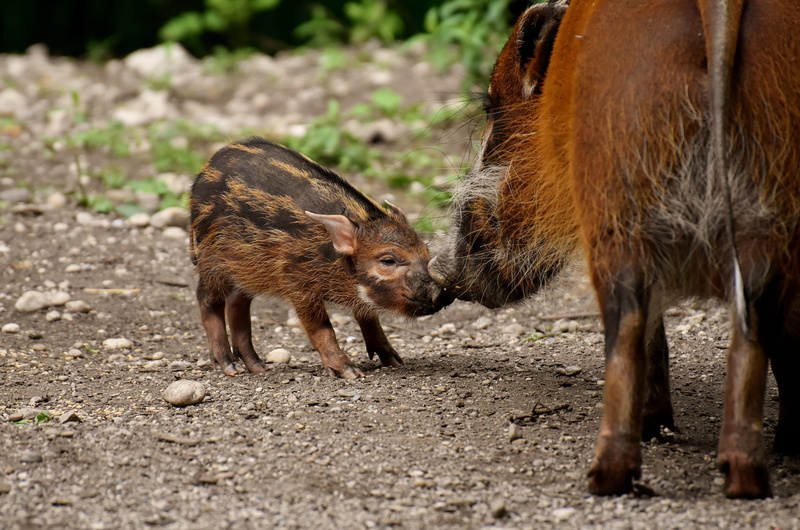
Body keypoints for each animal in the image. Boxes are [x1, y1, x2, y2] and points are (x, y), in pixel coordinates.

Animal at [189, 137, 451, 379]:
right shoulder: (298, 284)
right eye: (388, 261)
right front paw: (349, 372)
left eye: (425, 252)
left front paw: (395, 361)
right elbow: (322, 328)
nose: (441, 293)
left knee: (237, 302)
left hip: (245, 269)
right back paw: (230, 366)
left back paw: (258, 366)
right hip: (210, 259)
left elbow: (369, 317)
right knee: (207, 299)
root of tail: (205, 169)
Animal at [429, 0, 800, 498]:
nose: (437, 271)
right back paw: (758, 469)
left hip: (618, 209)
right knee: (756, 324)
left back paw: (607, 477)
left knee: (628, 327)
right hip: (767, 205)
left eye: (492, 109)